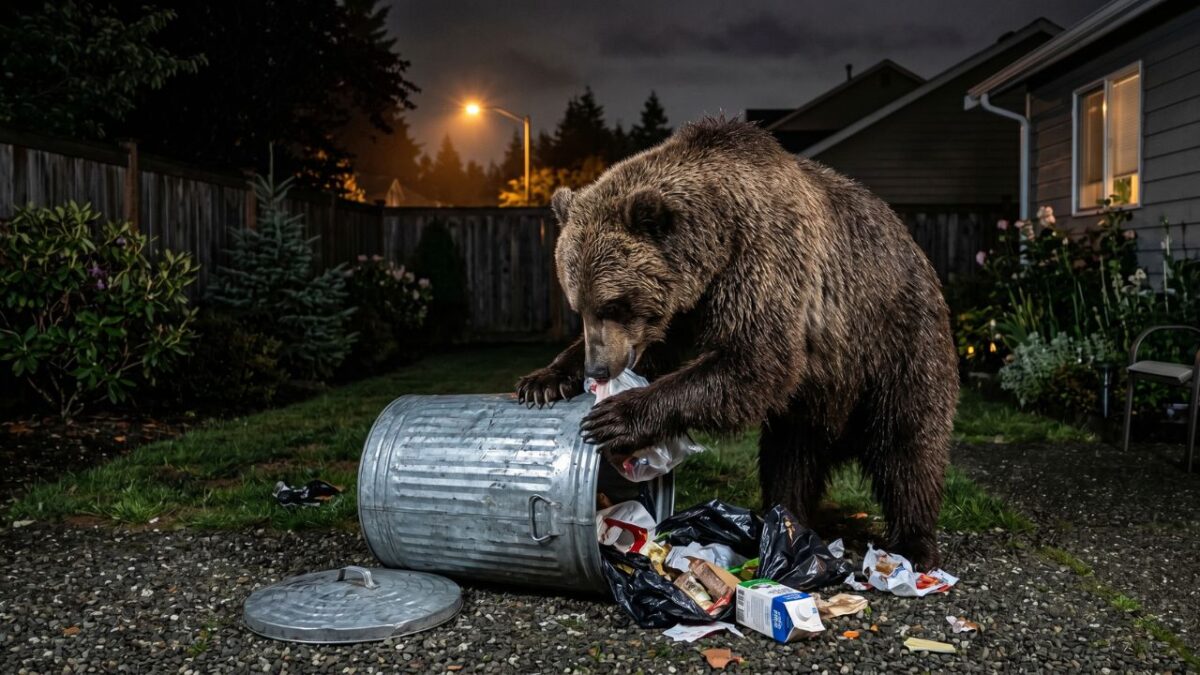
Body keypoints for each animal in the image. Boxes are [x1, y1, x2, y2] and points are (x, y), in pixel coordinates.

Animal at [516, 117, 958, 570]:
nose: (598, 369)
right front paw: (543, 381)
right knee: (790, 459)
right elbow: (663, 350)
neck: (718, 240)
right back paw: (782, 518)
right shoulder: (688, 307)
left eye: (615, 304)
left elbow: (754, 360)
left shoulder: (766, 263)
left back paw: (913, 543)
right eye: (580, 306)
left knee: (907, 448)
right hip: (811, 402)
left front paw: (616, 414)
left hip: (895, 344)